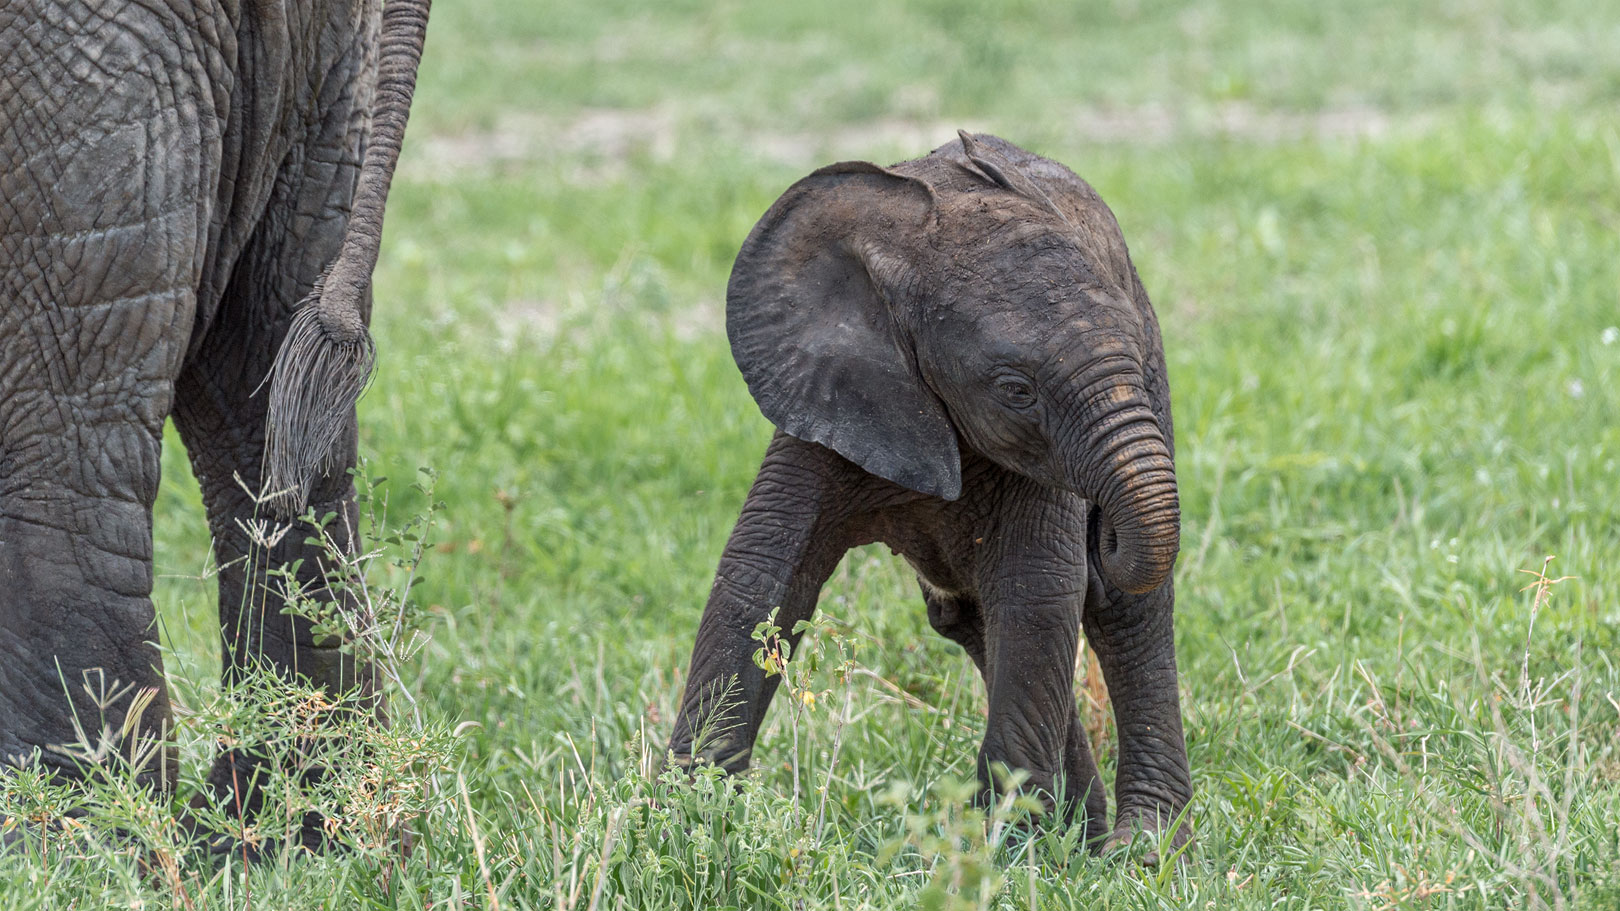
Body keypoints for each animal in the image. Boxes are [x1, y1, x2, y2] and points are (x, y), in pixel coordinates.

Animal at [667, 132, 1192, 849]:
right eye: (1015, 389)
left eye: (1134, 362)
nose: (1104, 520)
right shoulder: (825, 389)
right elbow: (760, 579)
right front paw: (685, 825)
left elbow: (1038, 589)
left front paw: (1003, 855)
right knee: (973, 616)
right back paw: (1082, 834)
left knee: (1121, 609)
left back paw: (1137, 849)